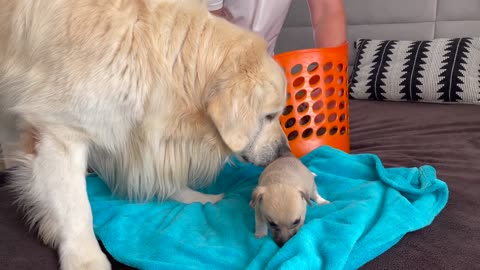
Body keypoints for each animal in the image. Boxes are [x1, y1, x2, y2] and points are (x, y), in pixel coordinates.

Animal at [0, 1, 288, 268]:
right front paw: (86, 258)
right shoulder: (61, 133)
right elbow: (77, 208)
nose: (284, 152)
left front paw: (199, 198)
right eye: (269, 116)